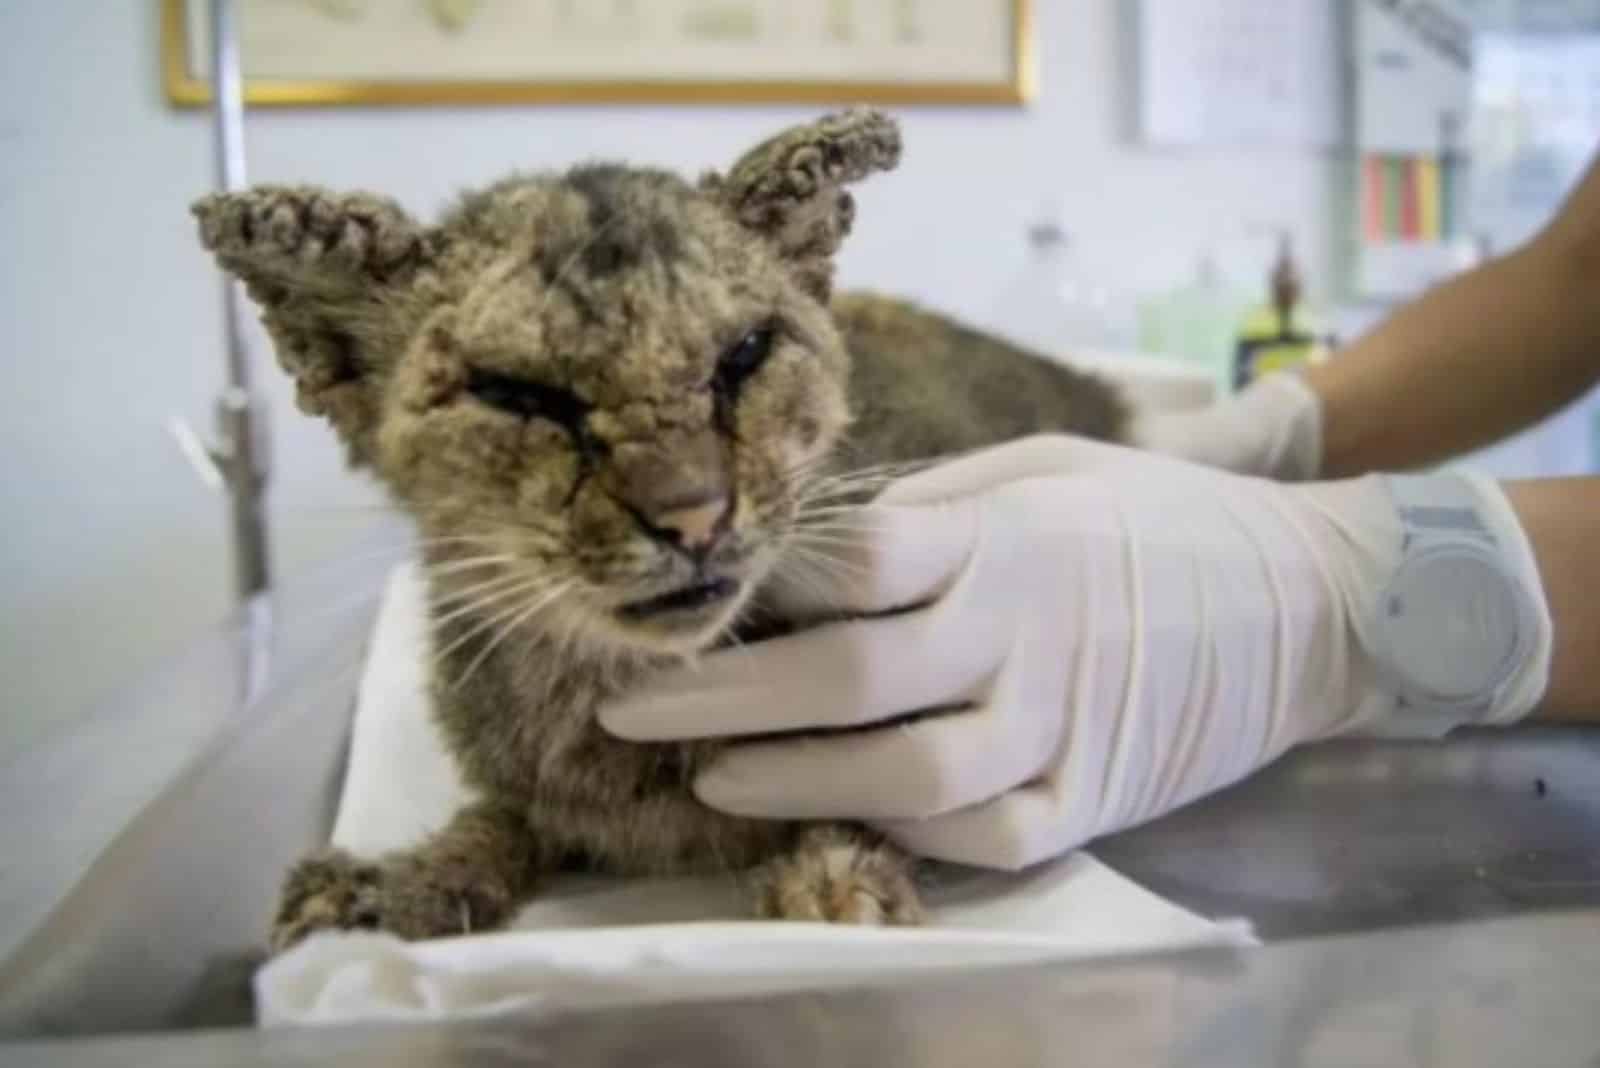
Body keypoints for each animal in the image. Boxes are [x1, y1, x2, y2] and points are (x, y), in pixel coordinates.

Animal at [193, 106, 1126, 952]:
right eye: (514, 393)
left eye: (746, 352)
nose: (693, 515)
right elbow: (503, 816)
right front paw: (403, 879)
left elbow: (880, 797)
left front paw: (838, 880)